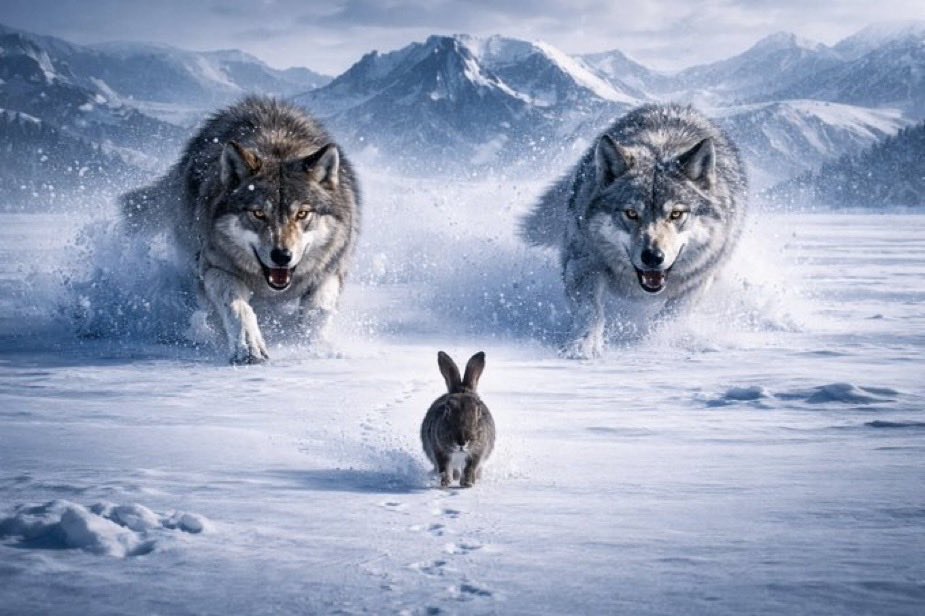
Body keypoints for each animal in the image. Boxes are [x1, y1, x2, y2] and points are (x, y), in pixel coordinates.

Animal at [421, 351, 496, 488]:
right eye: (447, 409)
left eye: (478, 409)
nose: (462, 441)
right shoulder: (439, 449)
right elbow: (444, 467)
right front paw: (445, 483)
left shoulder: (478, 450)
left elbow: (470, 467)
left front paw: (467, 483)